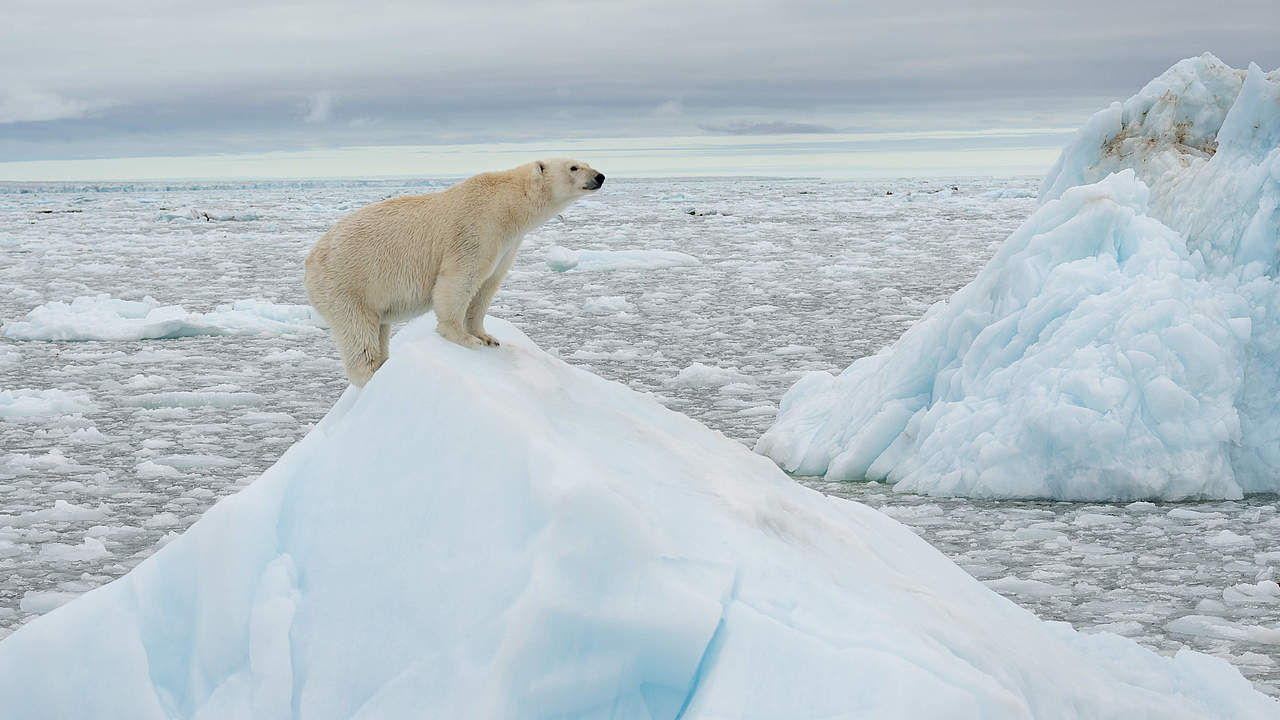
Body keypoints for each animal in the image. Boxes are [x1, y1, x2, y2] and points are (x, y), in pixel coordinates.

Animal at [304, 158, 604, 386]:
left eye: (587, 162)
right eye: (574, 167)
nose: (600, 176)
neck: (508, 204)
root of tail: (309, 261)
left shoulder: (506, 244)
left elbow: (487, 286)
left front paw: (487, 337)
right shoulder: (477, 228)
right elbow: (460, 279)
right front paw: (464, 338)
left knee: (379, 328)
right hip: (347, 284)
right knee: (357, 331)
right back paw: (371, 372)